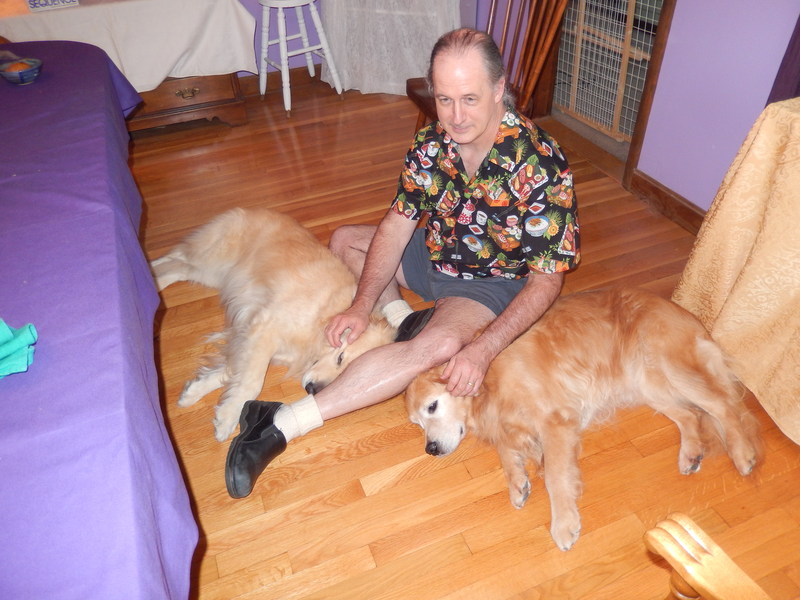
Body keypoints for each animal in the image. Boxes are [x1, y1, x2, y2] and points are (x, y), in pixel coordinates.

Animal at [152, 208, 395, 441]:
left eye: (349, 373)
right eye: (340, 358)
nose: (312, 390)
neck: (327, 316)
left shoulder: (248, 336)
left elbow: (231, 370)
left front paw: (195, 391)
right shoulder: (263, 330)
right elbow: (252, 382)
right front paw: (228, 418)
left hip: (212, 273)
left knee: (179, 268)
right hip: (212, 260)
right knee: (177, 257)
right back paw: (149, 267)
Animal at [404, 287, 759, 551]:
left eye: (432, 407)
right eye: (417, 424)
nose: (430, 449)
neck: (489, 379)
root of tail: (686, 313)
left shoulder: (556, 421)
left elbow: (555, 476)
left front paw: (563, 524)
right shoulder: (510, 424)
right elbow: (508, 451)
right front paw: (517, 482)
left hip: (670, 367)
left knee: (724, 406)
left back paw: (743, 454)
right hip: (648, 382)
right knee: (690, 414)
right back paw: (691, 453)